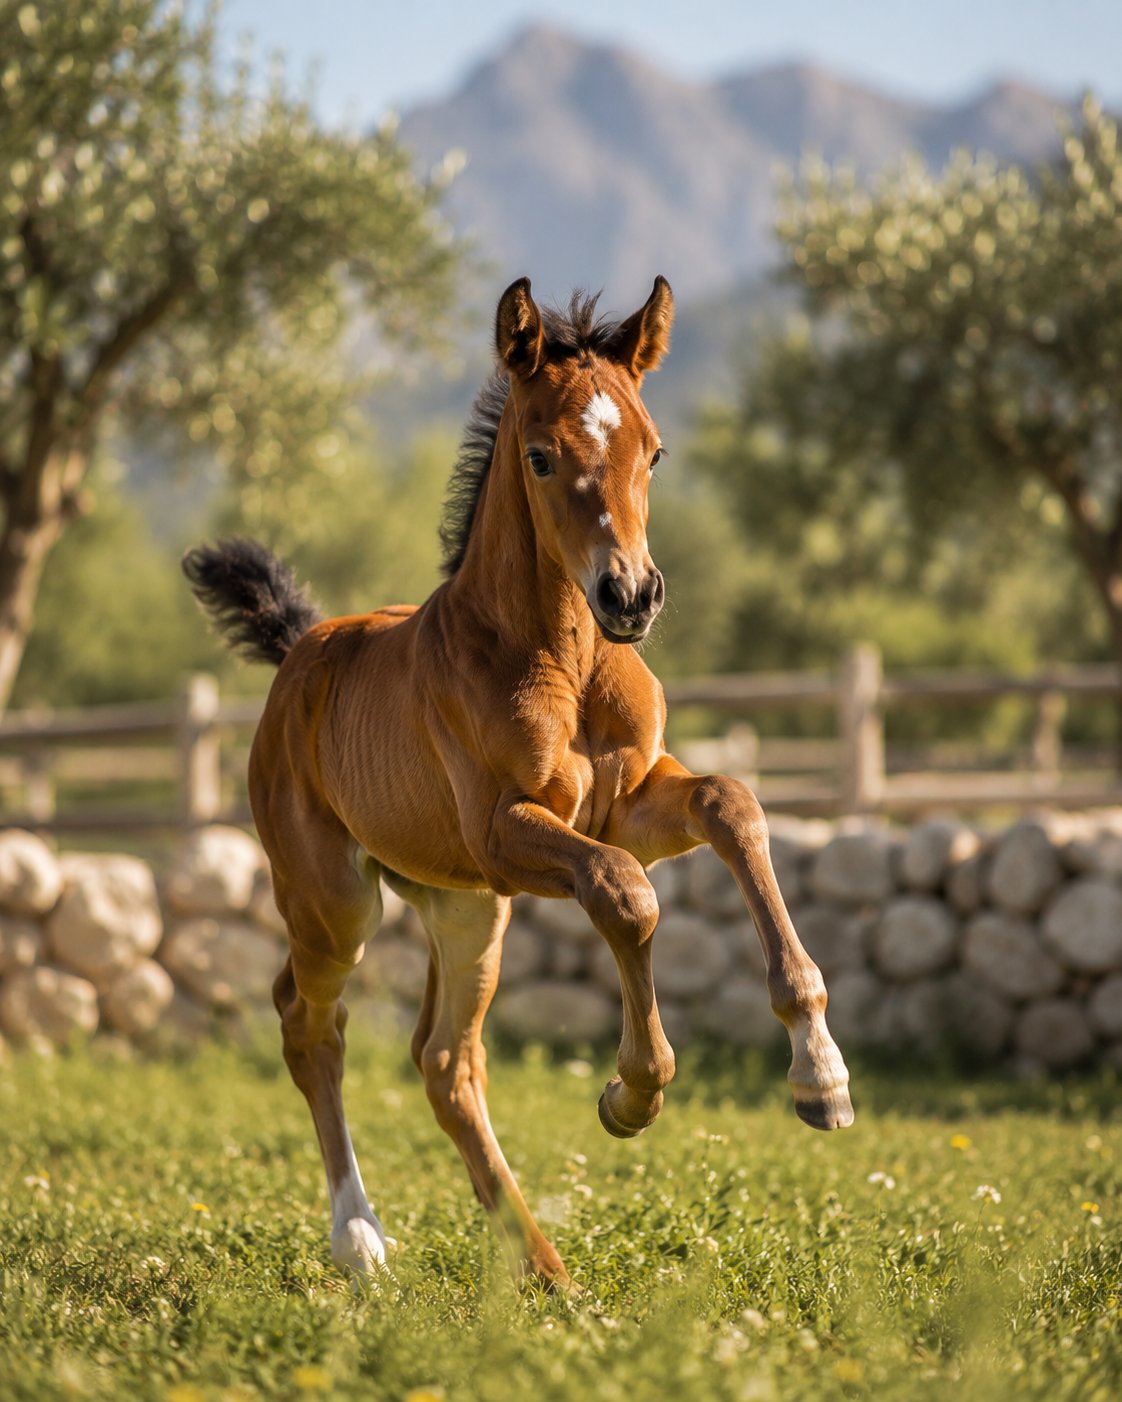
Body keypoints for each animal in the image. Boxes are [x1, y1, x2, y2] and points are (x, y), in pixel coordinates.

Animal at [183, 275, 853, 1291]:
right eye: (541, 456)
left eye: (654, 450)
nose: (631, 595)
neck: (565, 660)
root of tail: (300, 648)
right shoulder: (509, 831)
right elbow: (626, 894)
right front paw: (632, 1094)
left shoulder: (627, 802)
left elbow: (729, 803)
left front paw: (821, 1074)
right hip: (337, 900)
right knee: (309, 1024)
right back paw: (360, 1240)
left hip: (466, 910)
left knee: (444, 1062)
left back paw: (547, 1271)